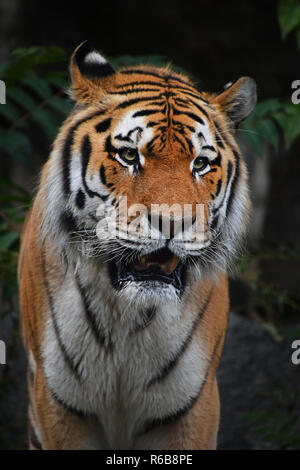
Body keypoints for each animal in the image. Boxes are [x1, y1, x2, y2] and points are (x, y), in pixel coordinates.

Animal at [18, 39, 255, 448]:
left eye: (201, 164)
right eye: (129, 155)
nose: (172, 222)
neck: (126, 317)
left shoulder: (192, 406)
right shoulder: (58, 404)